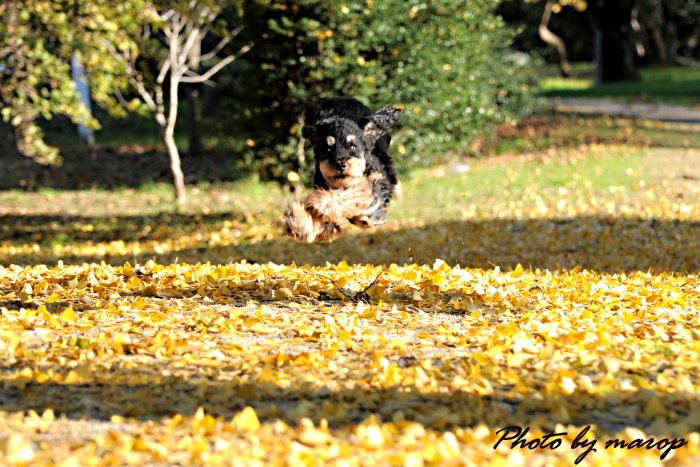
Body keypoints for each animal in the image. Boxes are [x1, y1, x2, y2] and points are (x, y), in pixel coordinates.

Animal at [280, 98, 402, 245]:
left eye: (352, 147)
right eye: (328, 149)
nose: (340, 165)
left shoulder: (373, 194)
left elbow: (354, 195)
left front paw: (323, 204)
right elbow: (325, 225)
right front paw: (298, 223)